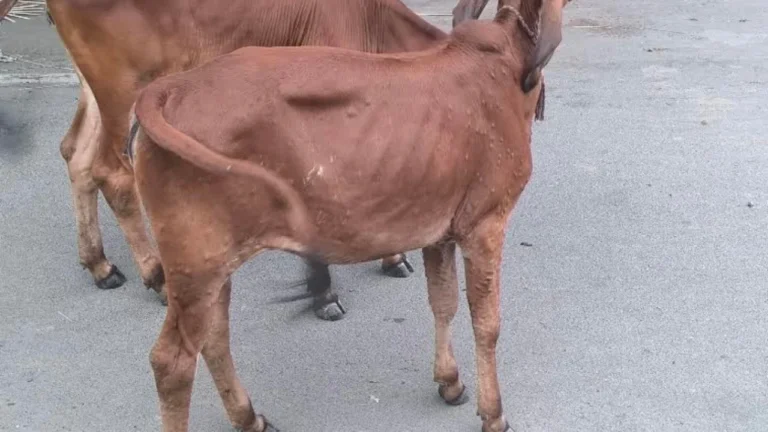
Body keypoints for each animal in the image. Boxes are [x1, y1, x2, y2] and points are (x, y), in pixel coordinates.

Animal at [44, 0, 492, 320]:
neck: (371, 19)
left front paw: (391, 256)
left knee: (76, 154)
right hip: (123, 89)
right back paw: (155, 276)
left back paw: (100, 265)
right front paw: (326, 292)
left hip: (96, 89)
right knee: (111, 173)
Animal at [129, 0, 567, 430]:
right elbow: (487, 324)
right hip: (195, 263)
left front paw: (450, 381)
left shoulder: (439, 230)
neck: (509, 63)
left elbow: (443, 302)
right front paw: (493, 413)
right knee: (171, 362)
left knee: (214, 337)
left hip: (212, 261)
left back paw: (248, 417)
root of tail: (174, 87)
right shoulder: (485, 223)